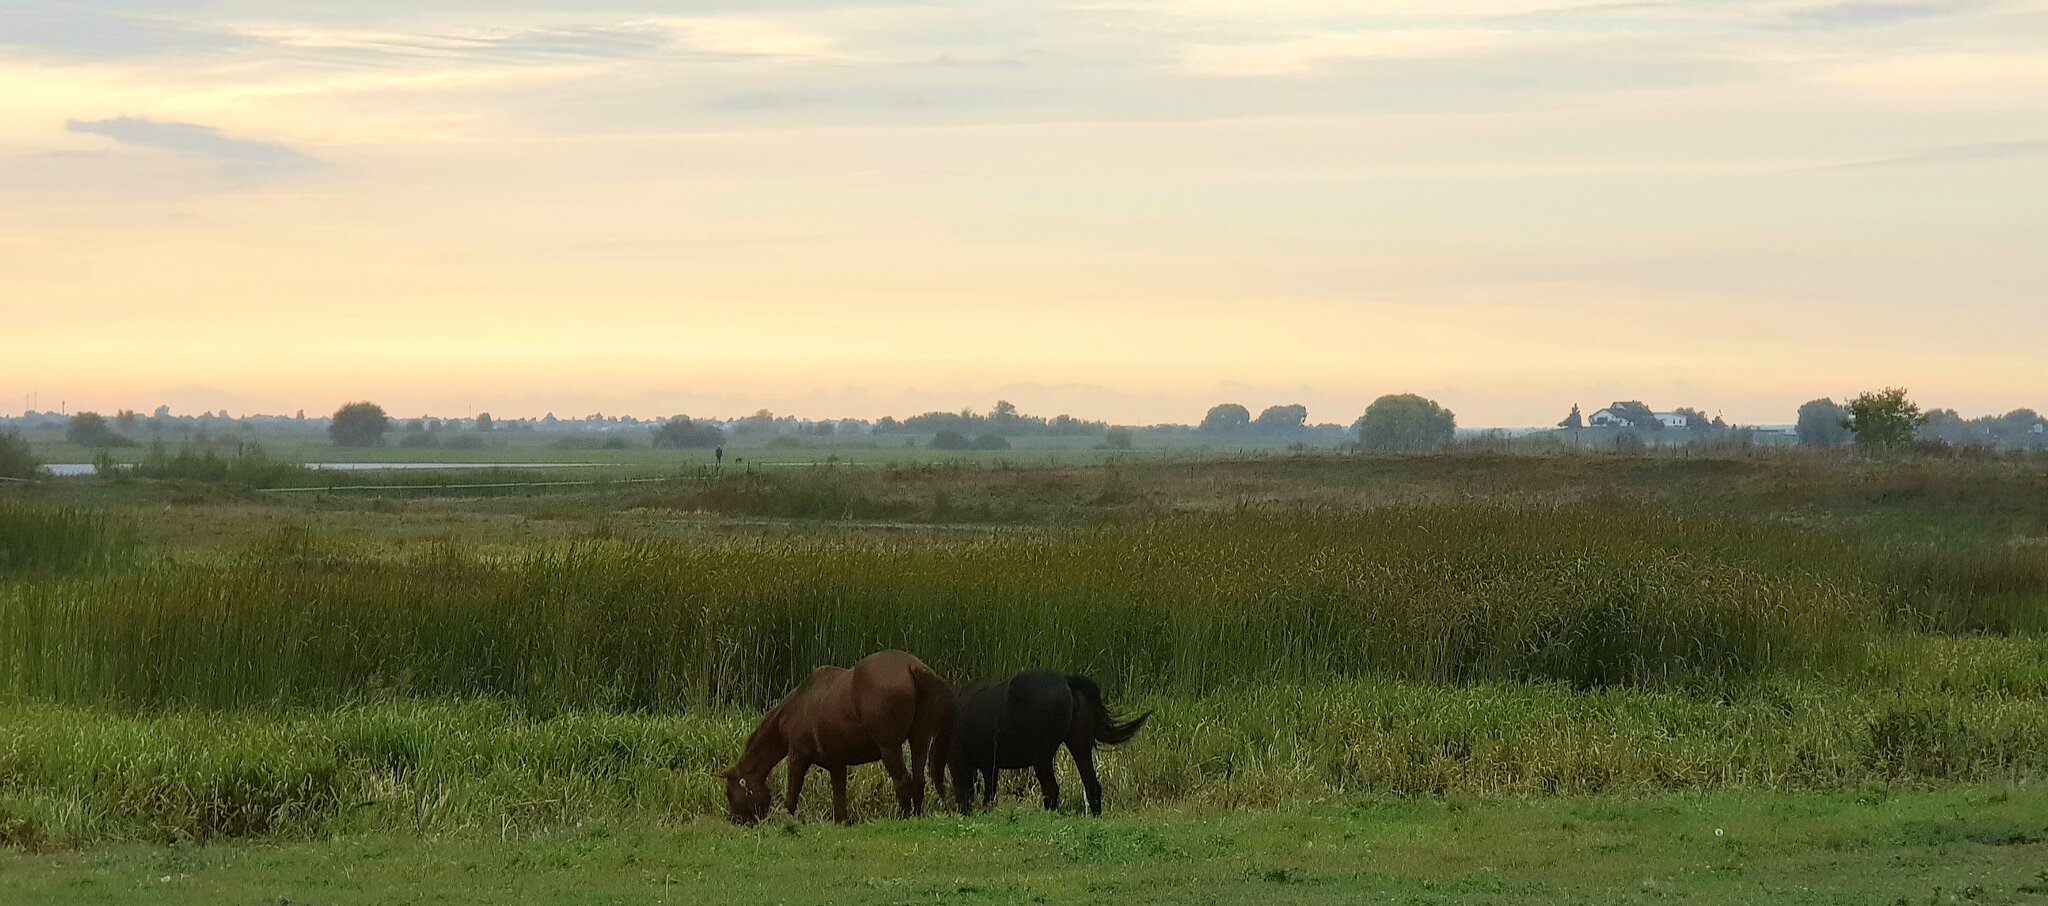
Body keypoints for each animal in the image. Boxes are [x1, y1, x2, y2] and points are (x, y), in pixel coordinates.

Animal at [720, 649, 953, 825]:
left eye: (730, 794)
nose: (737, 821)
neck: (797, 706)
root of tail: (912, 667)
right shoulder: (837, 765)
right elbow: (839, 796)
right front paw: (842, 821)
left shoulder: (797, 757)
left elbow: (792, 795)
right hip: (919, 741)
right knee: (919, 780)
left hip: (890, 748)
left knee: (903, 782)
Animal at [948, 670, 1150, 816]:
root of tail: (1067, 681)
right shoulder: (989, 765)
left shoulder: (974, 763)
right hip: (1079, 746)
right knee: (1092, 786)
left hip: (1043, 756)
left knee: (1051, 789)